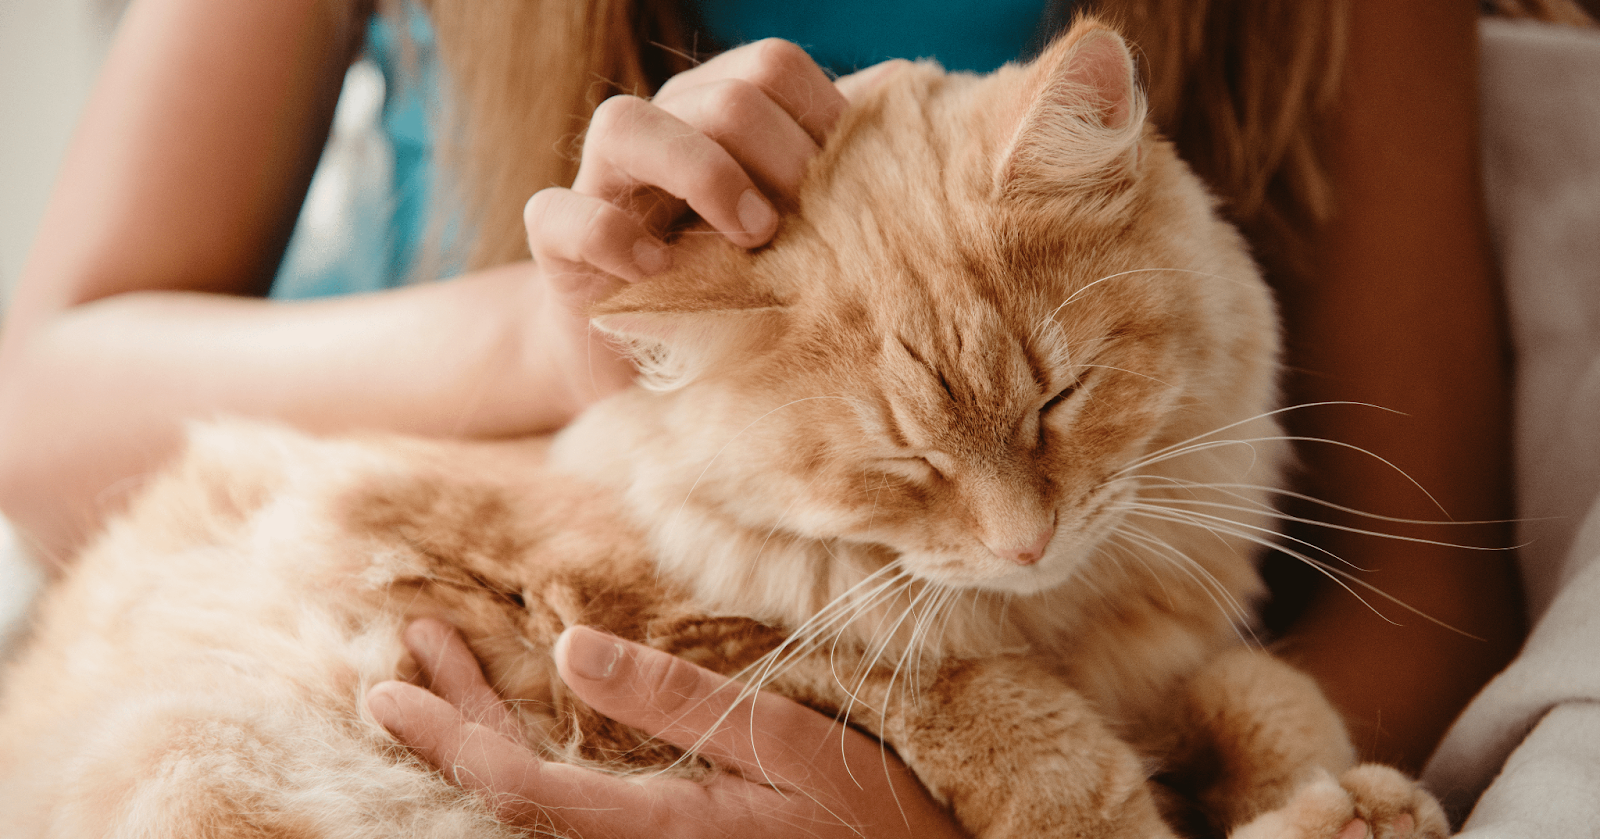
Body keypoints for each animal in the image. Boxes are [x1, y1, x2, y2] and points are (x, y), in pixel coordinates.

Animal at [0, 19, 1452, 839]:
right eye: (904, 462)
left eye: (1059, 397)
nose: (1025, 540)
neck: (1068, 615)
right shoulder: (666, 628)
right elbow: (1018, 727)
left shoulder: (1162, 655)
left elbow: (1263, 689)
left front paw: (1350, 789)